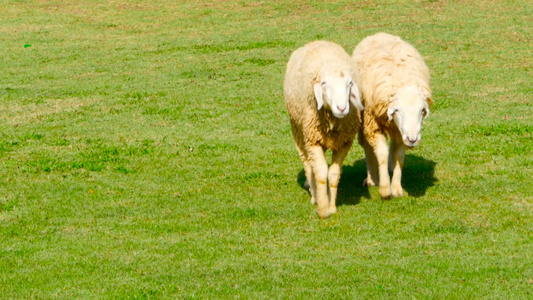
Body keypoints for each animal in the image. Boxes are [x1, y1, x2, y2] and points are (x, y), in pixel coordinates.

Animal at [284, 40, 364, 218]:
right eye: (324, 84)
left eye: (349, 84)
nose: (342, 108)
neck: (332, 121)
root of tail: (317, 41)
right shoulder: (313, 141)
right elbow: (320, 173)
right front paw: (322, 208)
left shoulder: (343, 143)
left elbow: (333, 175)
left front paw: (332, 206)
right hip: (299, 133)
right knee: (308, 165)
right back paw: (314, 196)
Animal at [352, 32, 434, 199]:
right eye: (398, 111)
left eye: (421, 111)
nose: (413, 139)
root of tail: (379, 34)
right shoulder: (373, 124)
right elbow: (381, 153)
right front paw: (385, 188)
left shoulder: (402, 132)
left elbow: (399, 156)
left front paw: (396, 187)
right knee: (368, 147)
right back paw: (372, 178)